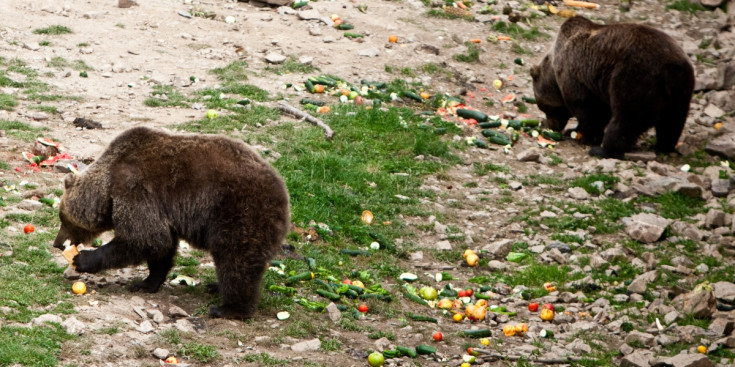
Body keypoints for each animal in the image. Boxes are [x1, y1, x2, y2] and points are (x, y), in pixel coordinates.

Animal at [52, 127, 290, 322]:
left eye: (63, 218)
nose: (56, 243)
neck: (108, 189)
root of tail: (284, 193)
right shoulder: (161, 210)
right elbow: (161, 247)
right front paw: (147, 283)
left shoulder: (134, 190)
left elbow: (145, 238)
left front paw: (84, 259)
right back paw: (215, 287)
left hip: (239, 211)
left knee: (235, 260)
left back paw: (229, 309)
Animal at [528, 16, 696, 159]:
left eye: (545, 107)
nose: (547, 125)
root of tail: (671, 68)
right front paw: (574, 131)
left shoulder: (576, 75)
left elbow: (589, 110)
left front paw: (586, 136)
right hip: (681, 90)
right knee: (672, 122)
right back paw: (663, 146)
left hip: (634, 77)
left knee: (627, 117)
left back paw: (604, 150)